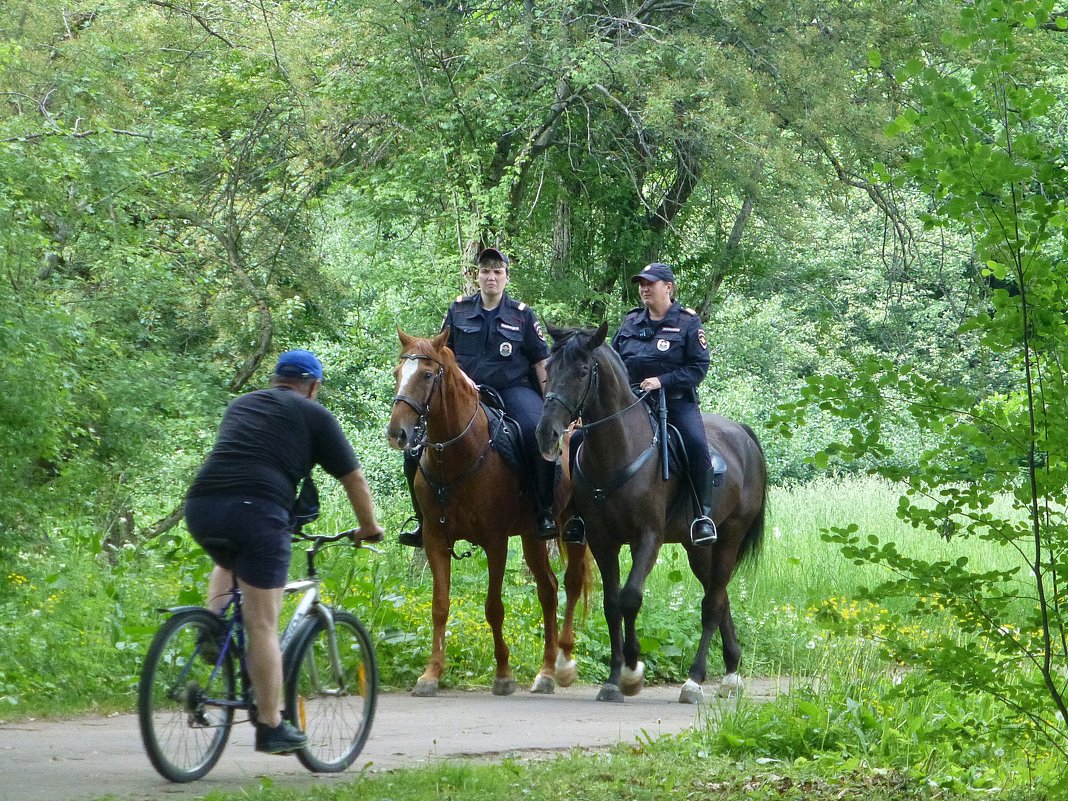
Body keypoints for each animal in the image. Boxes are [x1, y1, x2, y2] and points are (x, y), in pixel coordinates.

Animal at [386, 328, 589, 700]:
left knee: (571, 583)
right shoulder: (435, 540)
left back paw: (561, 663)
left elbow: (494, 608)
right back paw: (545, 672)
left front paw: (504, 674)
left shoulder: (495, 542)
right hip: (531, 536)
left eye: (426, 375)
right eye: (397, 373)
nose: (398, 433)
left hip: (573, 528)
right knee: (548, 590)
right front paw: (430, 674)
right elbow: (440, 606)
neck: (457, 454)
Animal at [538, 322, 764, 704]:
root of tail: (743, 434)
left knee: (712, 603)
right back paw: (731, 672)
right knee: (719, 595)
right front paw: (614, 679)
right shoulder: (602, 540)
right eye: (550, 369)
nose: (546, 433)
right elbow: (612, 604)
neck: (619, 450)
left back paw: (695, 680)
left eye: (582, 371)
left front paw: (632, 671)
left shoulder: (648, 537)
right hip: (697, 548)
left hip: (730, 535)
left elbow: (630, 598)